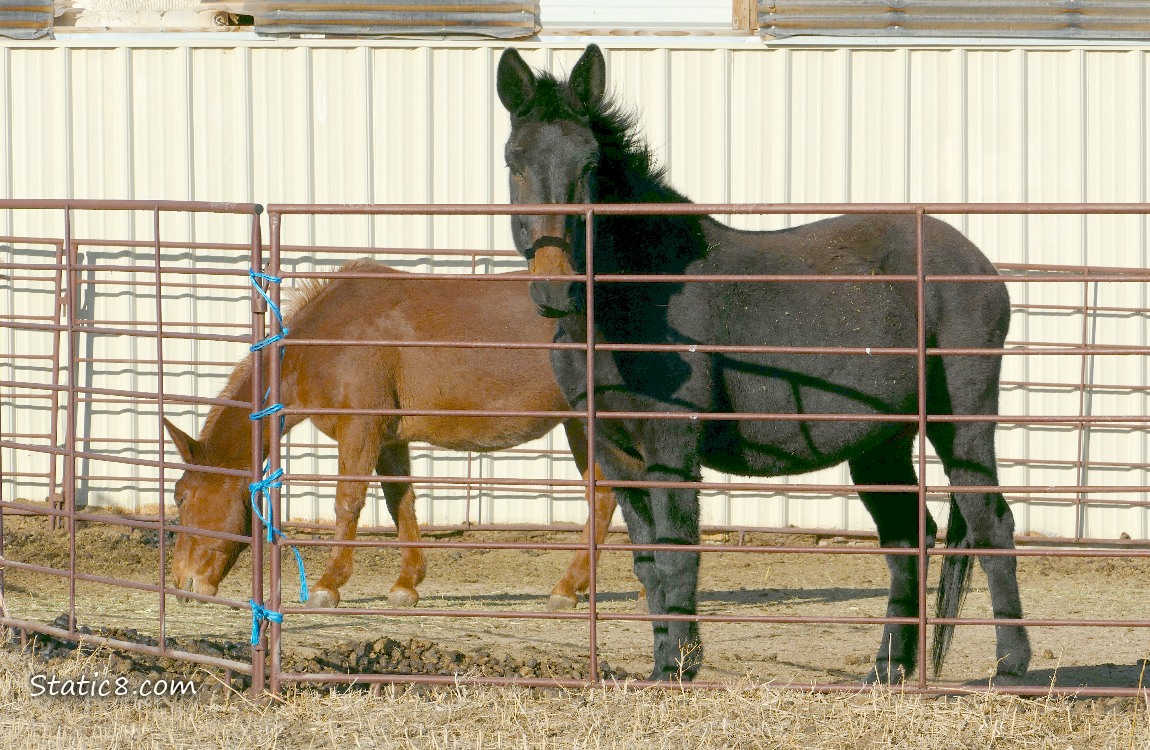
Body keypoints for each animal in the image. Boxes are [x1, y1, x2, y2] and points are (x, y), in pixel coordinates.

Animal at [164, 258, 621, 612]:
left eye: (181, 496)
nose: (182, 583)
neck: (325, 340)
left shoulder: (360, 429)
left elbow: (348, 503)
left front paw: (329, 585)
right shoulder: (388, 439)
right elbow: (400, 501)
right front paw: (407, 584)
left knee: (604, 496)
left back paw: (569, 589)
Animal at [496, 44, 1030, 684]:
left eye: (590, 163)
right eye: (514, 162)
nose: (554, 289)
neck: (636, 299)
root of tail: (976, 263)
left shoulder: (672, 445)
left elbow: (677, 551)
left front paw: (680, 667)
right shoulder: (615, 452)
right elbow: (648, 562)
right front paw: (662, 665)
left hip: (961, 421)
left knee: (989, 521)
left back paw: (1011, 667)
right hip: (881, 440)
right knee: (910, 537)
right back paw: (888, 670)